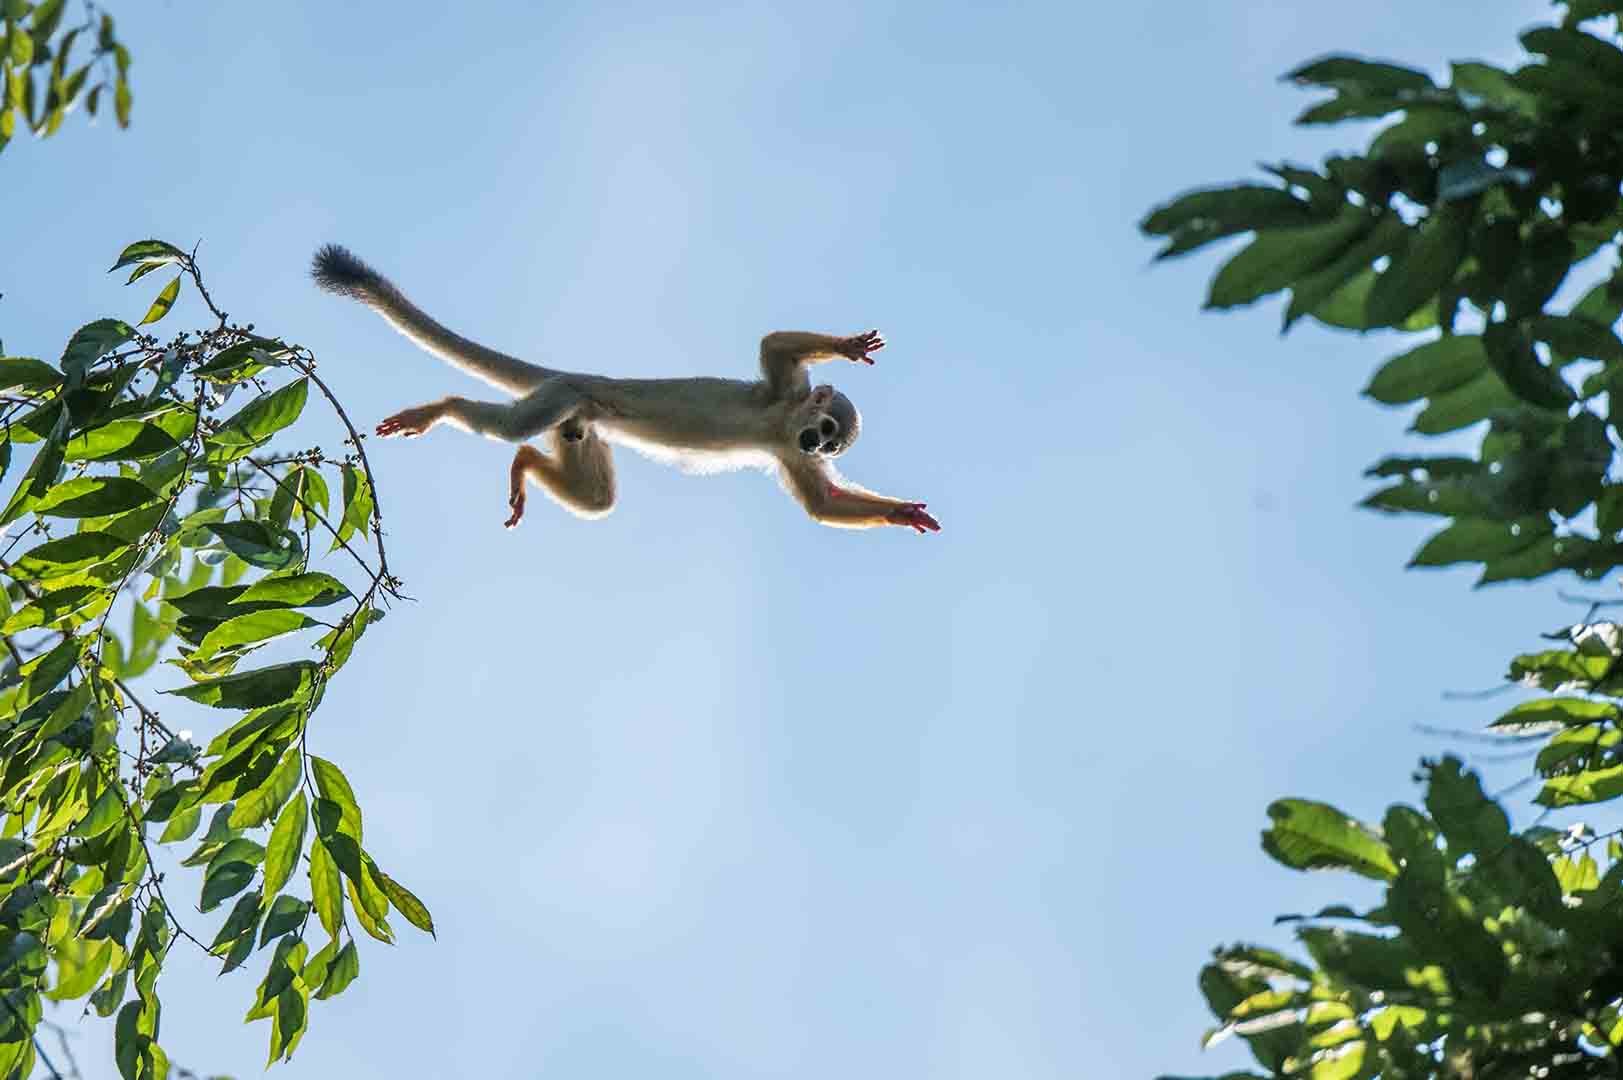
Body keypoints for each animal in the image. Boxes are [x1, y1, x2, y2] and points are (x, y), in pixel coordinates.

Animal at [309, 243, 941, 529]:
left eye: (833, 444)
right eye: (825, 426)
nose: (818, 444)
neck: (784, 423)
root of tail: (584, 379)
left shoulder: (789, 452)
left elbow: (821, 502)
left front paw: (901, 514)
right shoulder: (783, 395)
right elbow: (772, 347)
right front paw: (849, 346)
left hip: (577, 422)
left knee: (594, 497)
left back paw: (524, 465)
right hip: (562, 397)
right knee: (513, 423)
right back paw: (445, 408)